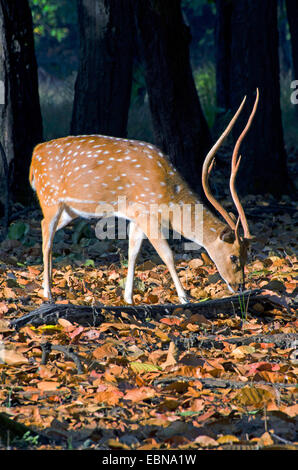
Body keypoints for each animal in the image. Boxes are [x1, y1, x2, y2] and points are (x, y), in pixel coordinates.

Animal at [29, 90, 258, 304]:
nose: (239, 286)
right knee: (46, 233)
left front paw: (129, 298)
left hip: (70, 210)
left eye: (248, 255)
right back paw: (48, 293)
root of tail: (34, 155)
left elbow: (133, 253)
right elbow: (168, 255)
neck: (169, 197)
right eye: (233, 256)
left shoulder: (137, 216)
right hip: (50, 198)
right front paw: (184, 297)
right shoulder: (148, 214)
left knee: (45, 228)